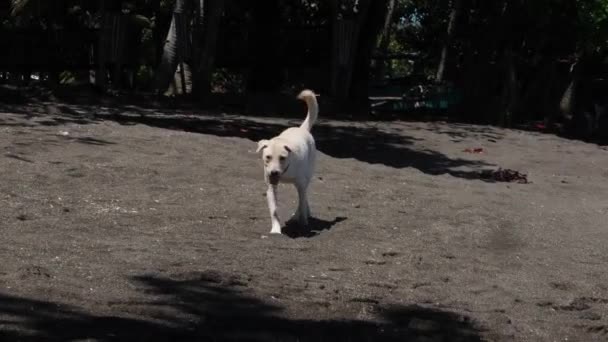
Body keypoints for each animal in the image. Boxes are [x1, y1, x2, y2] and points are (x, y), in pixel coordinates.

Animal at [255, 89, 318, 234]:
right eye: (268, 157)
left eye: (282, 158)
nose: (273, 173)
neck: (285, 172)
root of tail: (302, 129)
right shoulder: (271, 188)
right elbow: (274, 210)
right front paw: (276, 230)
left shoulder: (301, 184)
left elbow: (301, 202)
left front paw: (303, 223)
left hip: (307, 176)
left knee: (304, 197)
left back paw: (299, 215)